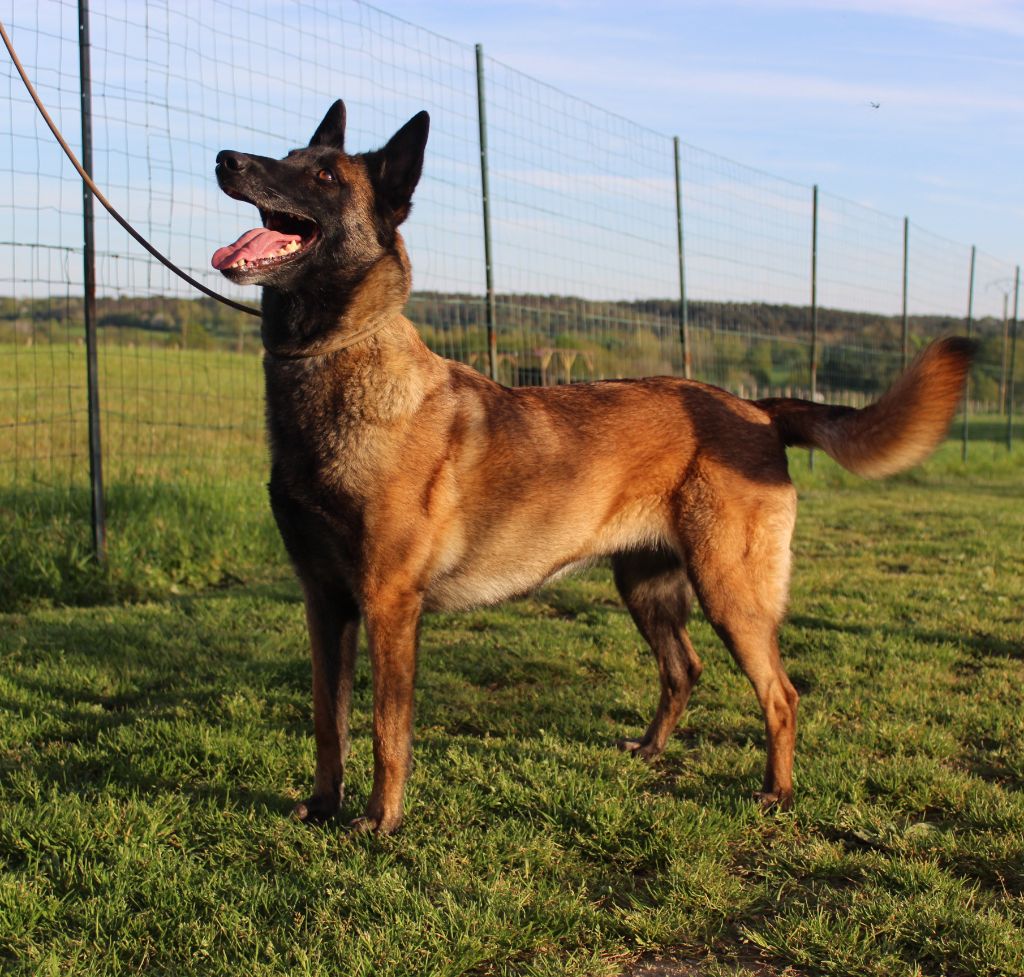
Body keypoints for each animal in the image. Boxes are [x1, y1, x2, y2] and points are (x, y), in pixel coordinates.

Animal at [214, 100, 974, 831]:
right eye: (287, 155)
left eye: (323, 176)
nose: (225, 158)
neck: (333, 366)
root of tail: (755, 408)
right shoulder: (324, 601)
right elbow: (328, 720)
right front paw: (324, 805)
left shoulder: (389, 604)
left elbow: (384, 728)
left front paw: (380, 820)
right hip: (647, 587)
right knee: (684, 669)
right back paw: (653, 750)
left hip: (732, 593)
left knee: (781, 694)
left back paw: (777, 793)